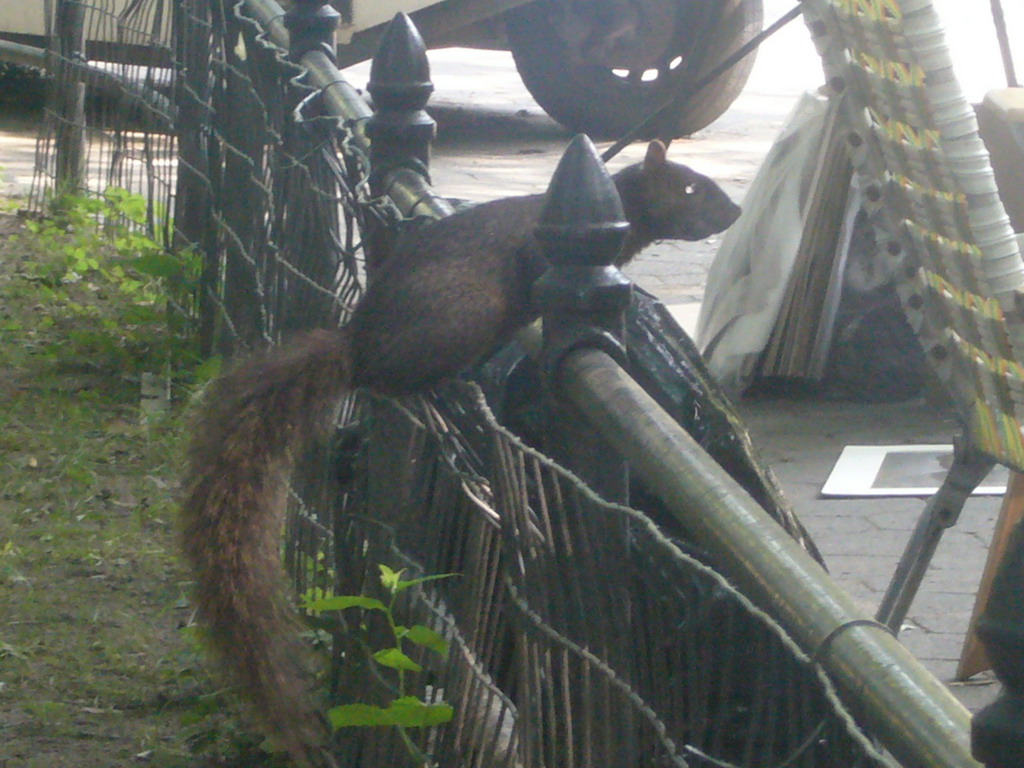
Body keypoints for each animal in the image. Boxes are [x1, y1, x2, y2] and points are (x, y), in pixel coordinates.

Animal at [182, 140, 737, 765]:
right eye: (691, 187)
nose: (734, 212)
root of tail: (358, 348)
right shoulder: (532, 254)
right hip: (460, 319)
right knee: (403, 379)